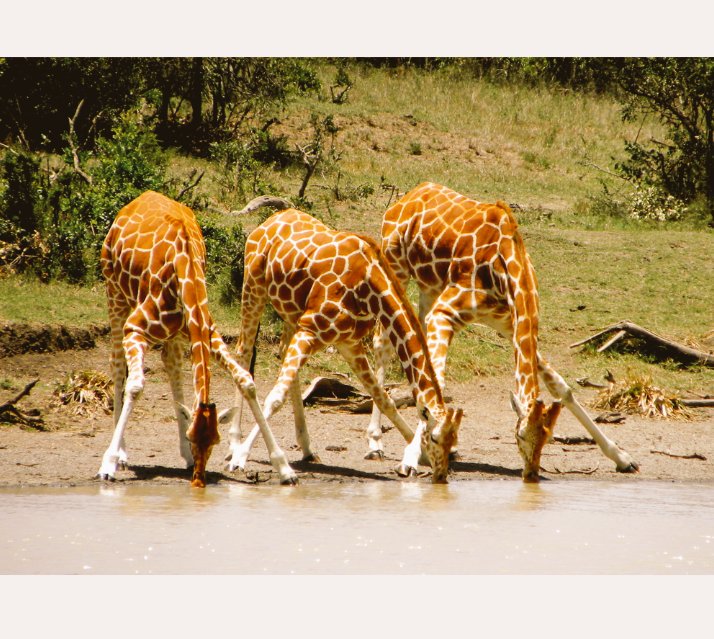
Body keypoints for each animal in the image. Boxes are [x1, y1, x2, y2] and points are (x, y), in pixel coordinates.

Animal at [98, 190, 297, 487]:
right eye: (194, 438)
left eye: (214, 440)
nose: (198, 482)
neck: (185, 271)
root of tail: (138, 199)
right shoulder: (136, 329)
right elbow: (135, 386)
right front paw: (109, 463)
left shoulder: (207, 333)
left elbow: (246, 381)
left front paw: (284, 468)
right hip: (115, 292)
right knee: (118, 364)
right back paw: (121, 454)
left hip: (171, 333)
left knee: (171, 364)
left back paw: (181, 456)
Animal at [224, 198, 463, 483]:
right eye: (436, 438)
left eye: (453, 441)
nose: (441, 476)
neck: (369, 287)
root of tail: (269, 221)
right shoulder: (311, 330)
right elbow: (274, 399)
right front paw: (243, 458)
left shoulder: (348, 343)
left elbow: (384, 398)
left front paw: (415, 459)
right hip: (253, 287)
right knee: (244, 352)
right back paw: (234, 445)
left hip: (291, 314)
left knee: (283, 356)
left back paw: (306, 448)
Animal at [370, 182, 639, 482]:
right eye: (519, 436)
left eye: (548, 437)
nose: (531, 475)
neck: (505, 268)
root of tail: (408, 195)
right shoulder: (445, 313)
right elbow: (435, 384)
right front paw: (410, 459)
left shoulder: (509, 325)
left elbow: (562, 387)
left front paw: (622, 457)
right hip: (396, 267)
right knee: (382, 342)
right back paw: (375, 443)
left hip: (429, 287)